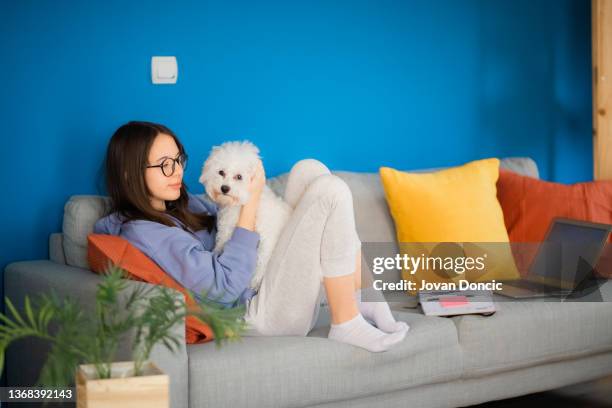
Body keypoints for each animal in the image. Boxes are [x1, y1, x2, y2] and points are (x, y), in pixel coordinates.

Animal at [197, 142, 290, 292]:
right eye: (221, 172)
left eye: (239, 177)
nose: (224, 188)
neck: (240, 204)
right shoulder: (226, 228)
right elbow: (221, 243)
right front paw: (216, 252)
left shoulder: (266, 241)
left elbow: (261, 261)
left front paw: (254, 282)